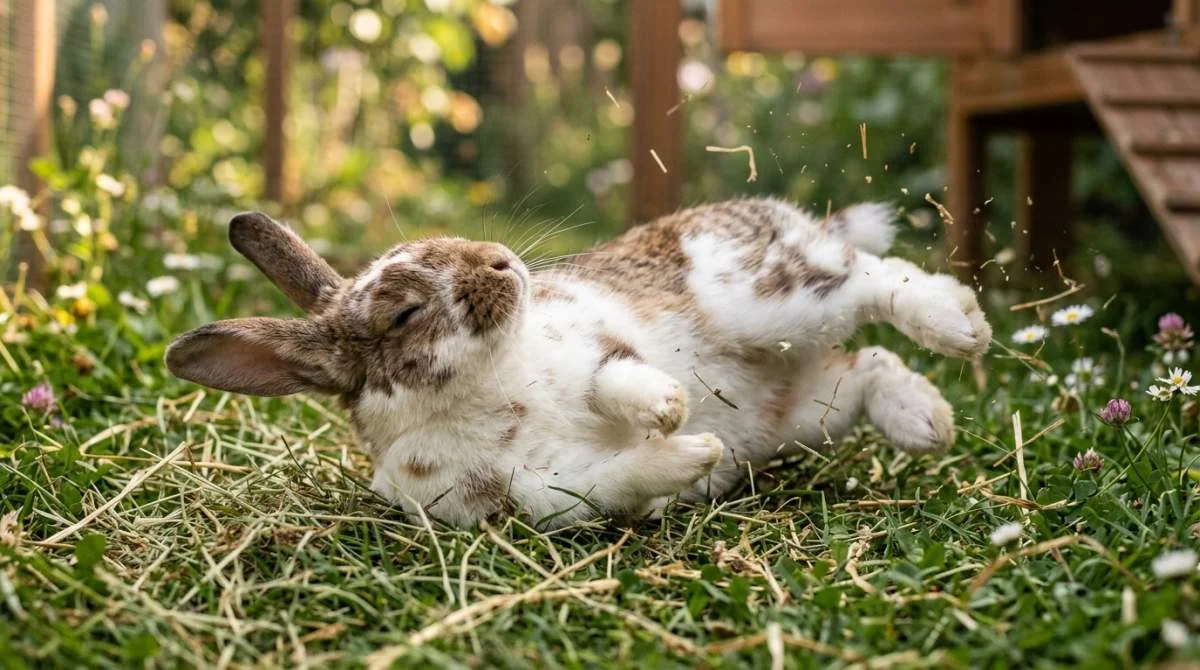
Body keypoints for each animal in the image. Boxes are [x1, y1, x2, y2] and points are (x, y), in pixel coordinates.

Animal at [166, 198, 991, 528]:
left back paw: (961, 327)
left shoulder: (593, 344)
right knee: (869, 360)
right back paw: (927, 421)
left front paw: (666, 408)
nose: (501, 261)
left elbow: (615, 376)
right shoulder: (547, 496)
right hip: (803, 408)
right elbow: (619, 481)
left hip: (769, 298)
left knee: (871, 279)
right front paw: (692, 452)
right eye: (403, 312)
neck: (481, 393)